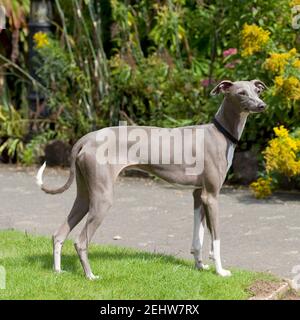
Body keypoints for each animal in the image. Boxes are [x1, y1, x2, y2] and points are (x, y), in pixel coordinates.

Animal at [37, 80, 268, 280]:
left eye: (257, 91)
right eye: (241, 93)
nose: (262, 105)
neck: (219, 134)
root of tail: (86, 138)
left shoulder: (198, 195)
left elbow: (199, 237)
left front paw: (200, 266)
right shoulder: (211, 196)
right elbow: (216, 238)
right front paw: (221, 271)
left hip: (85, 196)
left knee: (59, 234)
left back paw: (58, 271)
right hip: (102, 199)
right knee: (80, 241)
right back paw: (90, 276)